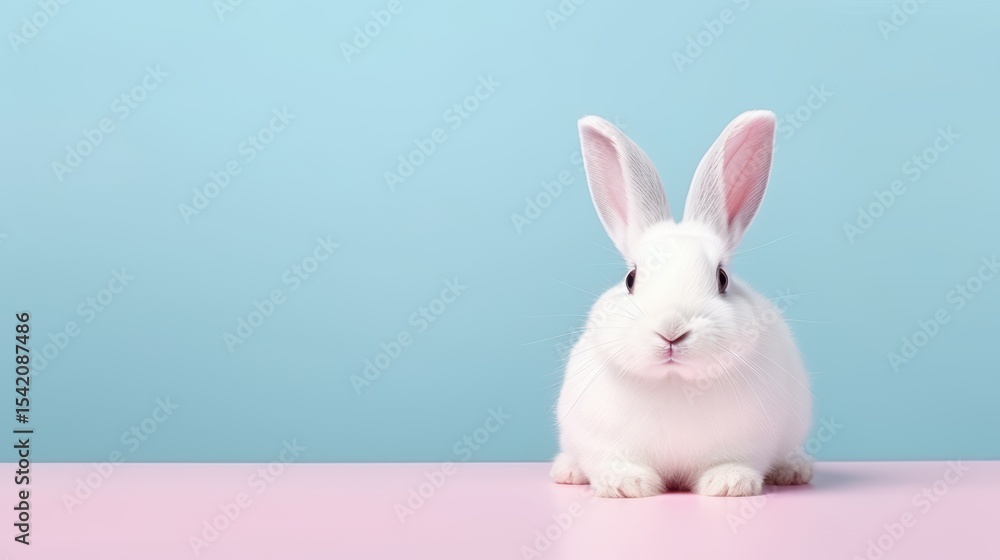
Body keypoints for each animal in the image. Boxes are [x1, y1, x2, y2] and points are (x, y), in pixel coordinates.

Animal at [551, 111, 813, 498]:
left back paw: (794, 469)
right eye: (630, 279)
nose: (671, 331)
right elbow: (613, 461)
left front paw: (730, 484)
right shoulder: (600, 439)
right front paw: (626, 485)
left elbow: (732, 461)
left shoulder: (750, 441)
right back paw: (567, 471)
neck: (674, 382)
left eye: (722, 278)